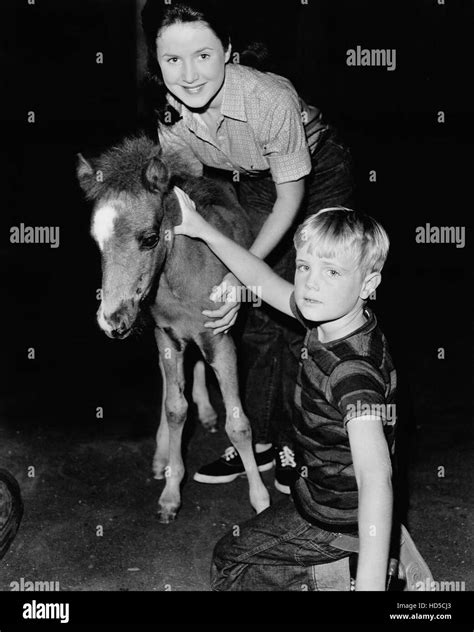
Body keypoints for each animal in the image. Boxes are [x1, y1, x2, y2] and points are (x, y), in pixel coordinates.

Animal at [78, 136, 270, 520]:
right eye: (96, 241)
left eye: (150, 238)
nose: (112, 321)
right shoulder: (166, 336)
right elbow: (175, 408)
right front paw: (170, 493)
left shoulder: (220, 338)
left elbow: (239, 425)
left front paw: (260, 500)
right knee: (172, 385)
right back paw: (162, 451)